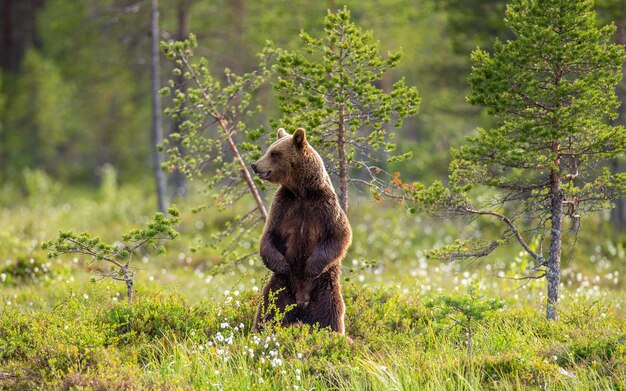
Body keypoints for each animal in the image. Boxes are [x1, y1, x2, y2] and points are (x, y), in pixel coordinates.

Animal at [250, 129, 352, 334]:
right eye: (269, 150)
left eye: (274, 153)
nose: (254, 165)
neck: (301, 191)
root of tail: (301, 304)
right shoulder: (283, 206)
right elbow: (269, 235)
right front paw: (282, 264)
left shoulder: (324, 207)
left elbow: (340, 235)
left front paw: (311, 267)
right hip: (280, 288)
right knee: (267, 310)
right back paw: (260, 330)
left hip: (325, 290)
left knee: (331, 314)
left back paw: (335, 334)